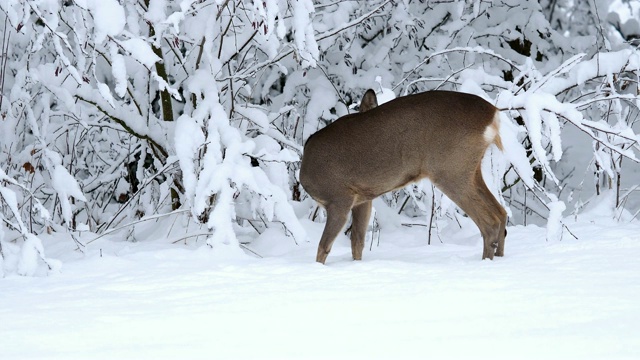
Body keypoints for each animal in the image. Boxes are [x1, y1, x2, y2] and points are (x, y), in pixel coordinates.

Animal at [300, 89, 504, 264]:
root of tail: (493, 113)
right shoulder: (362, 199)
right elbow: (357, 243)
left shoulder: (339, 198)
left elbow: (323, 247)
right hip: (470, 169)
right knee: (502, 213)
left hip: (450, 169)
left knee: (490, 222)